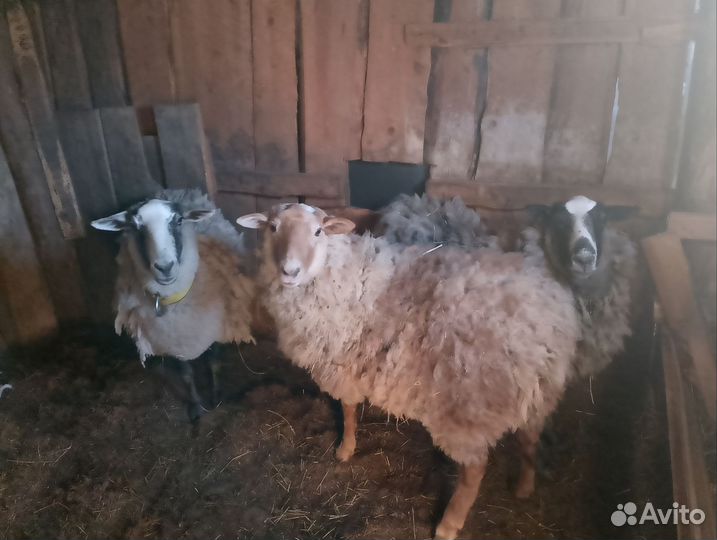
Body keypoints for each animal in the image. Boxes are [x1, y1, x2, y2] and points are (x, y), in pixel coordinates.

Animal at [92, 189, 255, 421]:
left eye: (178, 220)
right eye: (136, 226)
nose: (165, 267)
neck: (176, 301)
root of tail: (173, 191)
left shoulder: (215, 327)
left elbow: (214, 363)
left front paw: (216, 399)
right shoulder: (173, 340)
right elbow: (186, 374)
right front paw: (196, 408)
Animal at [237, 203, 580, 540]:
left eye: (318, 231)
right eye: (273, 228)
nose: (290, 271)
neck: (343, 274)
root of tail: (549, 312)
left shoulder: (341, 365)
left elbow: (347, 410)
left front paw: (345, 450)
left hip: (470, 405)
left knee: (476, 468)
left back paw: (449, 525)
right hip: (539, 391)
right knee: (530, 438)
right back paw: (524, 487)